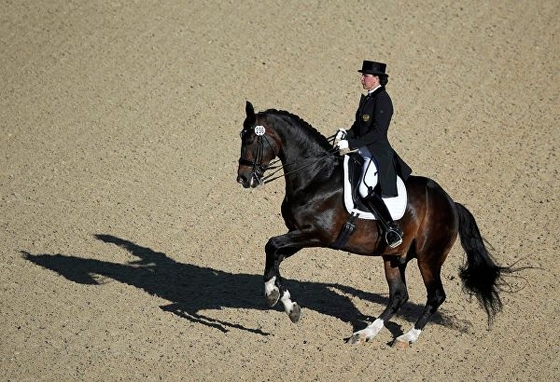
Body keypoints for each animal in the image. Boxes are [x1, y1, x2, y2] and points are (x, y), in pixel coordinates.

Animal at [234, 100, 510, 346]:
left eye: (251, 140)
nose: (243, 178)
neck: (317, 177)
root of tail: (451, 204)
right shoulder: (298, 234)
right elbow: (275, 256)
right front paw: (290, 306)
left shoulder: (316, 235)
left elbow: (271, 246)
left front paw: (271, 294)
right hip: (394, 257)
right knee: (398, 296)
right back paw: (365, 333)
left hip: (428, 258)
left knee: (435, 296)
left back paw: (405, 338)